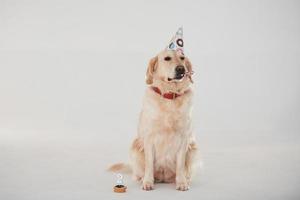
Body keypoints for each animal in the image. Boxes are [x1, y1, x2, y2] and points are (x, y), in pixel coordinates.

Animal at [109, 48, 198, 191]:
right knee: (139, 172)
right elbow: (149, 163)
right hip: (135, 147)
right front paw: (147, 182)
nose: (181, 69)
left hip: (193, 150)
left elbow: (180, 165)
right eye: (167, 58)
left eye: (182, 58)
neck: (170, 96)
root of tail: (164, 178)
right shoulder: (149, 138)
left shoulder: (184, 138)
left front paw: (182, 183)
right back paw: (142, 179)